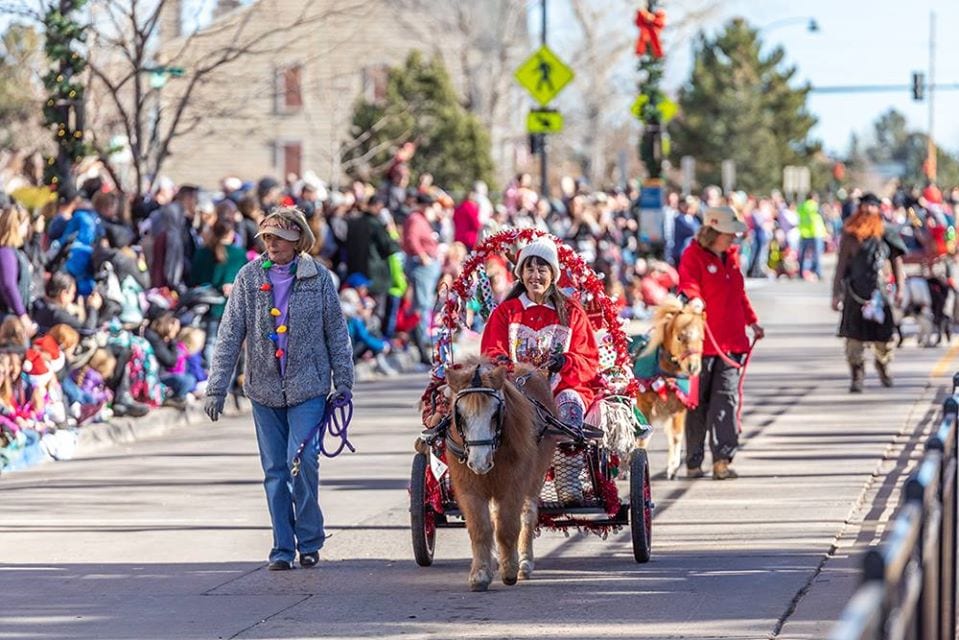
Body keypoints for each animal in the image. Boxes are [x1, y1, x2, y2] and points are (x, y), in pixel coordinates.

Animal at [446, 358, 560, 592]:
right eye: (459, 415)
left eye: (494, 414)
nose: (479, 462)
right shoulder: (468, 487)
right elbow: (481, 527)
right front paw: (480, 574)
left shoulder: (514, 485)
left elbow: (507, 527)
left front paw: (509, 570)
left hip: (535, 478)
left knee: (526, 515)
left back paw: (524, 561)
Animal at [636, 298, 704, 478]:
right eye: (680, 337)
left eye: (702, 338)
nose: (693, 367)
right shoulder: (643, 406)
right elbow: (642, 439)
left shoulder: (680, 406)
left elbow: (676, 436)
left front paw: (673, 467)